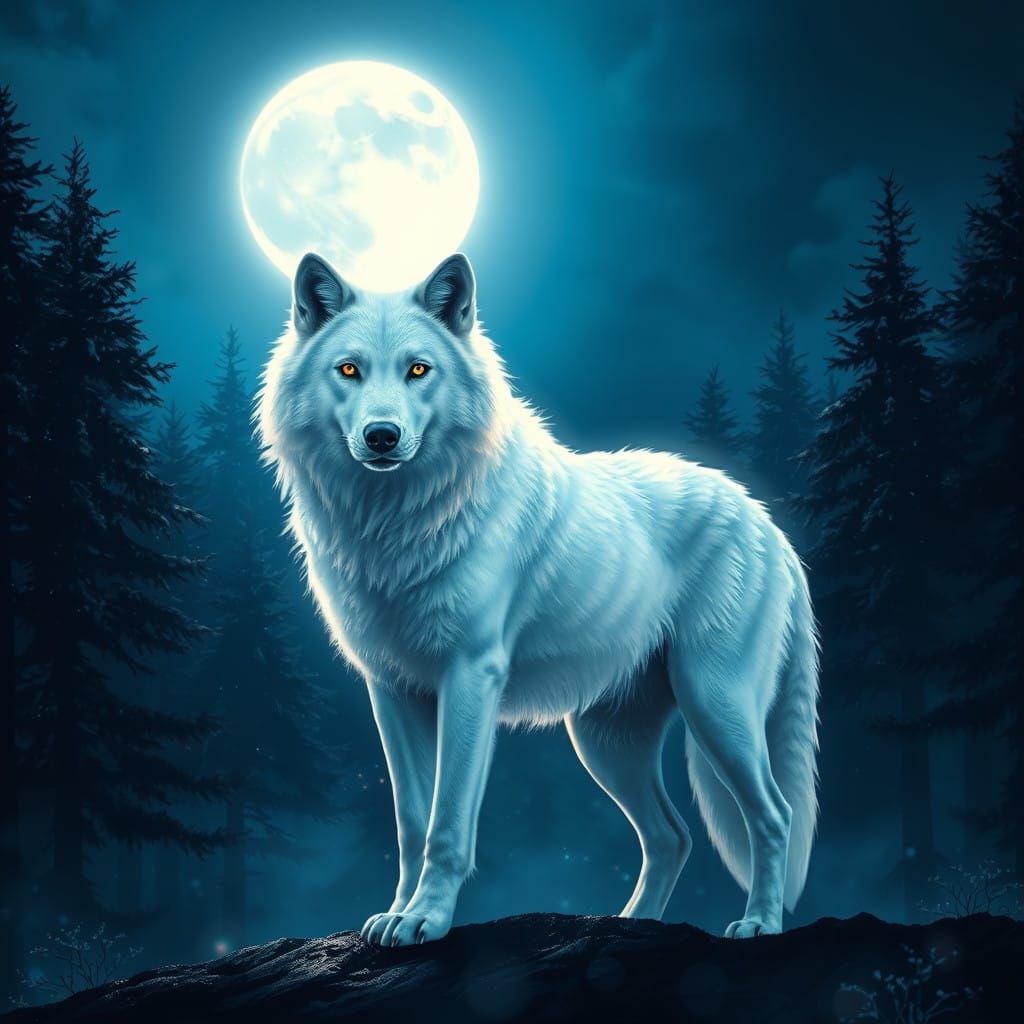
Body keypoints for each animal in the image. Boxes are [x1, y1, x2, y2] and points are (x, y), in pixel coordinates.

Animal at [257, 251, 820, 948]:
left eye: (419, 369)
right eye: (348, 370)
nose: (382, 436)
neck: (398, 521)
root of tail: (768, 522)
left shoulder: (471, 677)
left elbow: (447, 823)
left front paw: (425, 919)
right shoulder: (390, 690)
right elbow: (411, 823)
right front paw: (396, 913)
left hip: (715, 705)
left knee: (773, 814)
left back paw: (759, 922)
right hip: (605, 743)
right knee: (674, 836)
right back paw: (628, 924)